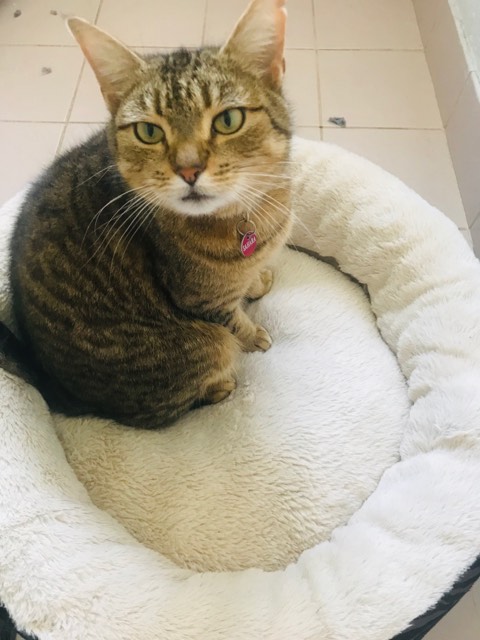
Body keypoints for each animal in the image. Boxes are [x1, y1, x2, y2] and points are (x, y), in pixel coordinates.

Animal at [8, 0, 292, 429]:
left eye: (228, 120)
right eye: (148, 132)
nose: (189, 170)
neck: (249, 213)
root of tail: (59, 392)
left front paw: (257, 280)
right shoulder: (203, 303)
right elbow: (235, 323)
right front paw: (256, 334)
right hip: (201, 347)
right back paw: (220, 386)